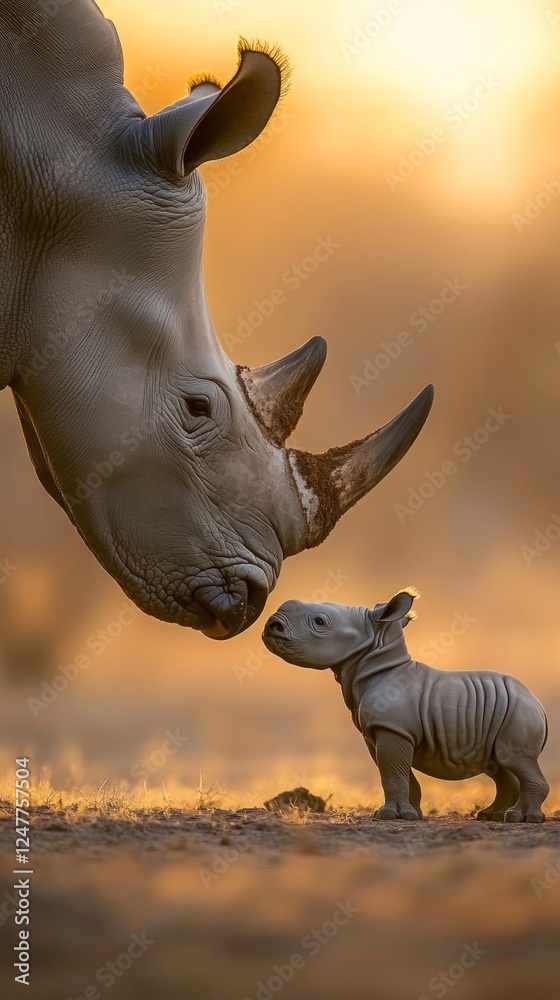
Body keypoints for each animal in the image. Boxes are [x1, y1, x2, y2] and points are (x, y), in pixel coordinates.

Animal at [263, 591, 550, 822]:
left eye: (319, 622)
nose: (271, 626)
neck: (372, 660)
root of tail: (538, 703)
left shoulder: (392, 728)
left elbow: (392, 771)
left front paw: (390, 815)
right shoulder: (382, 731)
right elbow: (398, 772)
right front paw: (411, 814)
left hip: (519, 711)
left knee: (514, 759)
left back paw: (521, 819)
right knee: (499, 765)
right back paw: (492, 816)